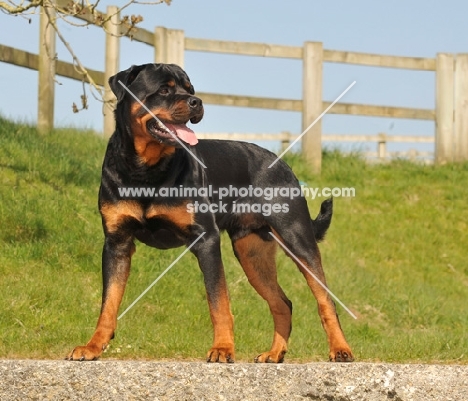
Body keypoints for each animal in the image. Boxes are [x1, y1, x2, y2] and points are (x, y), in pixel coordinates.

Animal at [65, 62, 352, 362]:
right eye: (164, 90)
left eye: (190, 89)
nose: (197, 102)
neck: (146, 170)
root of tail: (284, 164)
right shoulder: (116, 242)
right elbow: (108, 303)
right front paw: (92, 346)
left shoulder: (206, 238)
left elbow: (218, 301)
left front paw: (223, 348)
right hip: (252, 251)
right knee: (282, 303)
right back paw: (274, 353)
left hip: (296, 237)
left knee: (325, 300)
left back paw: (341, 350)